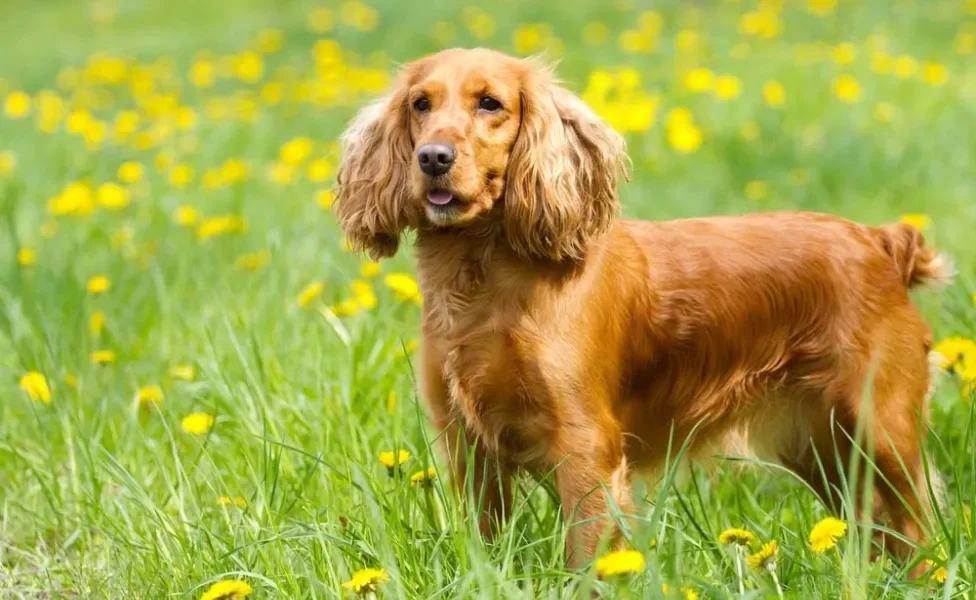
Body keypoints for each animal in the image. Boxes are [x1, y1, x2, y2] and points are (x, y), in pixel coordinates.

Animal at [332, 49, 948, 568]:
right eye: (421, 103)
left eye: (490, 103)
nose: (433, 157)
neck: (487, 279)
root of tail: (882, 241)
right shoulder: (467, 443)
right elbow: (486, 545)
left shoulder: (585, 445)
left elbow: (589, 555)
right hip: (823, 448)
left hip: (880, 428)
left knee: (917, 527)